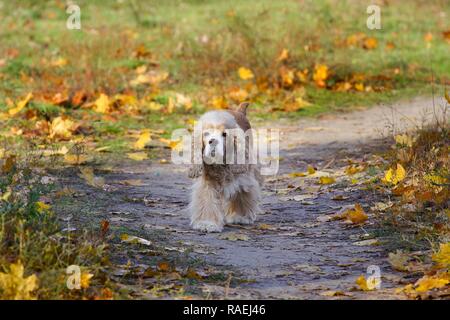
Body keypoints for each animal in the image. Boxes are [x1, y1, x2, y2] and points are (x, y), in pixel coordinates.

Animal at [187, 102, 264, 232]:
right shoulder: (208, 182)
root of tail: (239, 111)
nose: (213, 141)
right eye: (206, 134)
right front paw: (207, 223)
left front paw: (240, 216)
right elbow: (207, 200)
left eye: (224, 134)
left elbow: (241, 195)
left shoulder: (242, 179)